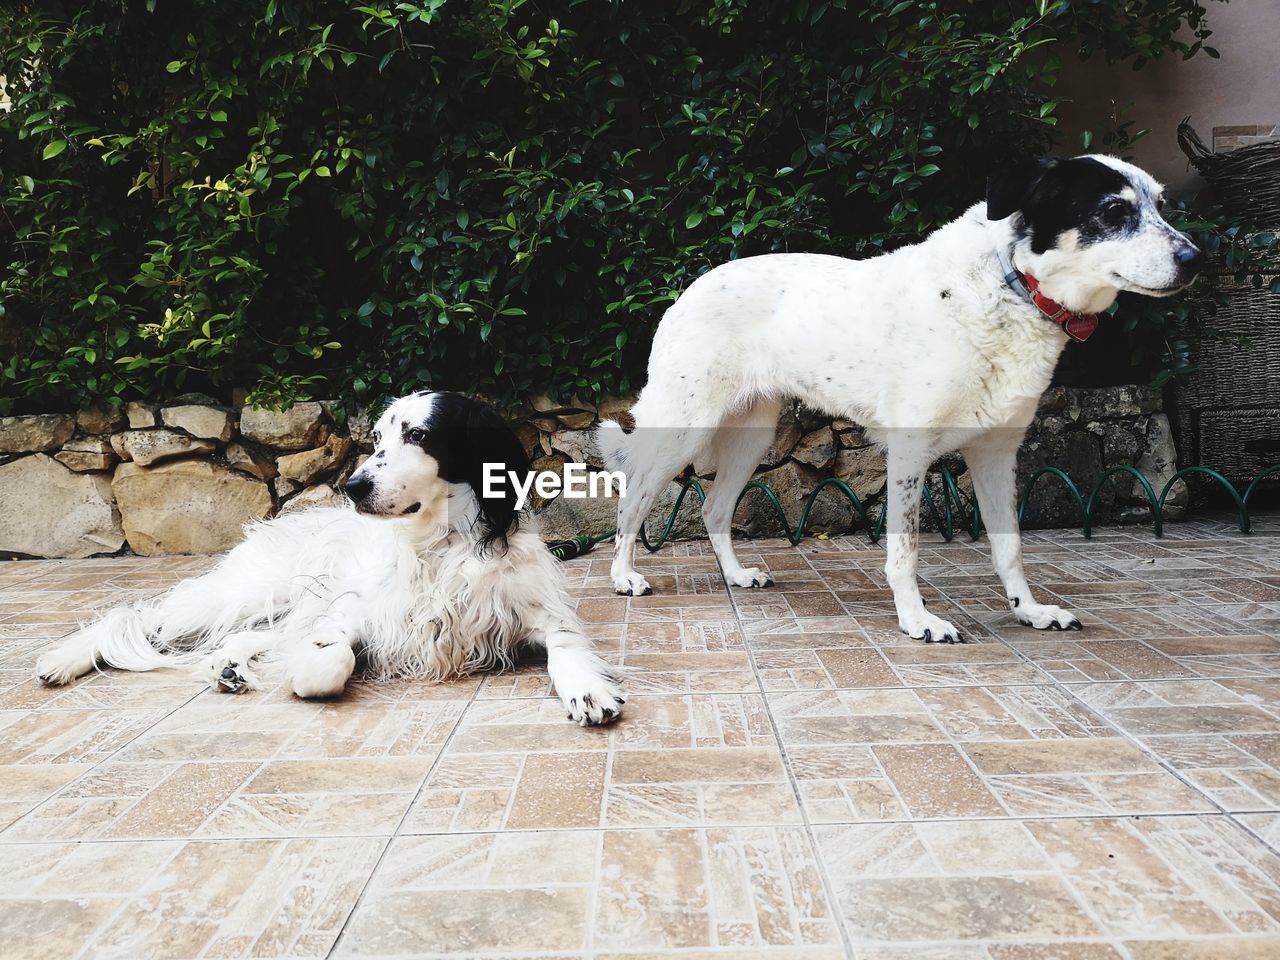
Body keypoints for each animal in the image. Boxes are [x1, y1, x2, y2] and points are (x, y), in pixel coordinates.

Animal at [35, 389, 624, 721]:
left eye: (419, 434)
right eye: (379, 435)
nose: (353, 486)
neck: (442, 545)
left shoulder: (540, 614)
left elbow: (568, 651)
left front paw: (588, 690)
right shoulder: (350, 613)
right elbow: (328, 661)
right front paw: (312, 669)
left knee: (245, 637)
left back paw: (228, 668)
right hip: (246, 590)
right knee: (141, 614)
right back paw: (62, 660)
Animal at [599, 154, 1198, 642]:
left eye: (1161, 205)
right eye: (1113, 211)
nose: (1196, 257)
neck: (1012, 285)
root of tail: (688, 291)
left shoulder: (997, 453)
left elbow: (1010, 545)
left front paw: (1028, 610)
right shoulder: (910, 451)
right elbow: (904, 550)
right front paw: (917, 620)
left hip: (753, 436)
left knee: (716, 509)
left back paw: (736, 575)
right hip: (684, 428)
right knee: (634, 499)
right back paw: (624, 576)